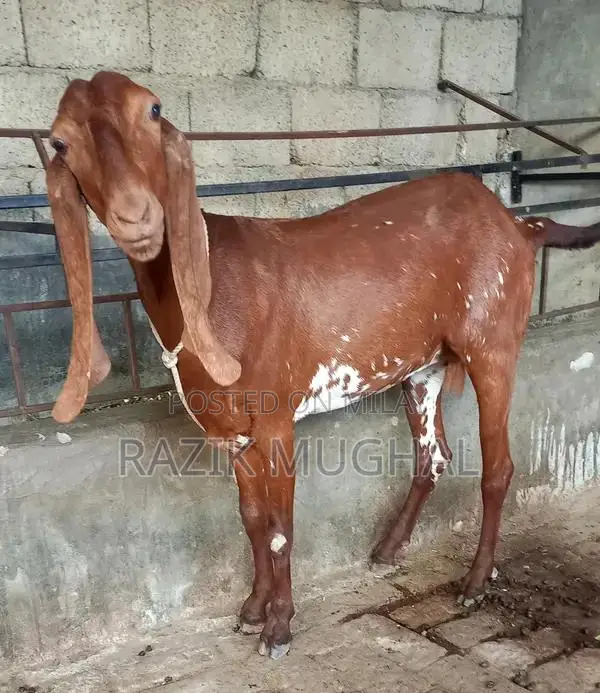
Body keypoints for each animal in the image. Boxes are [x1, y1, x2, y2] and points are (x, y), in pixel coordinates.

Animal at [46, 71, 600, 660]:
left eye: (153, 110)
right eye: (59, 141)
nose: (137, 216)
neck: (209, 285)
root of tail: (519, 224)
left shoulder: (275, 420)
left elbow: (280, 528)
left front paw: (279, 626)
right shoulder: (229, 431)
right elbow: (251, 520)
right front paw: (251, 608)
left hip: (493, 344)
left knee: (497, 469)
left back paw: (474, 581)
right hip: (423, 367)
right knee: (434, 457)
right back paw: (389, 548)